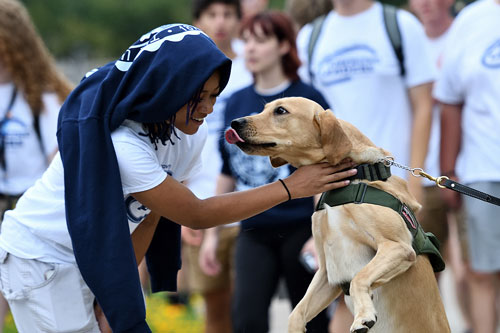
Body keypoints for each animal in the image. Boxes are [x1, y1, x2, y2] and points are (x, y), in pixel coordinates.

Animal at [226, 96, 450, 332]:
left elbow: (359, 278)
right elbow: (296, 313)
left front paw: (363, 315)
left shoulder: (398, 247)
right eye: (264, 109)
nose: (234, 123)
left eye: (280, 111)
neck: (354, 177)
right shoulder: (326, 272)